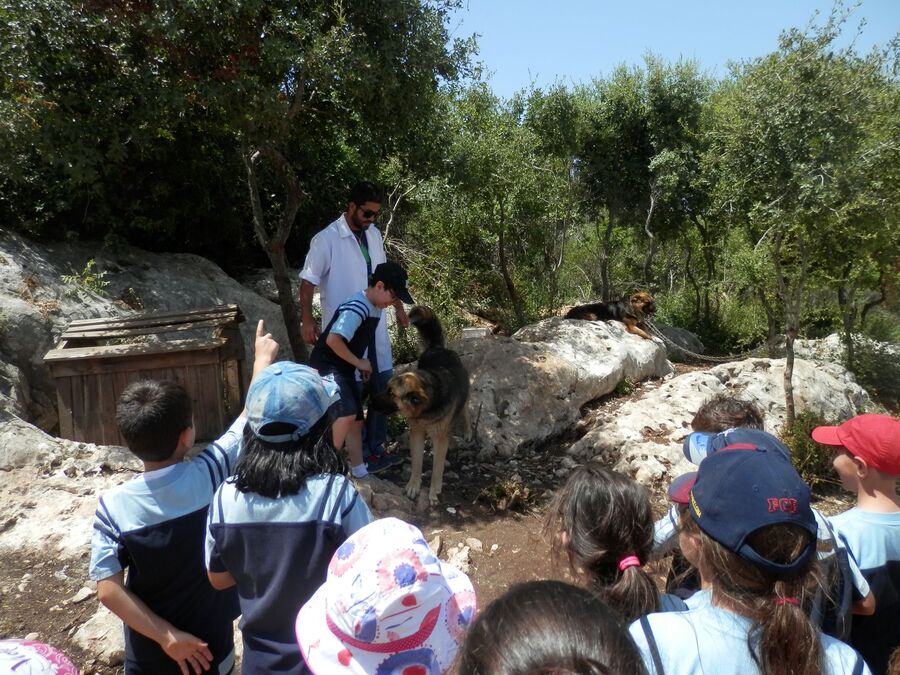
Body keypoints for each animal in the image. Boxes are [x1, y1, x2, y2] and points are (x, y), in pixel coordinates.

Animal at [370, 308, 472, 504]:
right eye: (387, 388)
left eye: (391, 393)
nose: (370, 401)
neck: (426, 408)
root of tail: (438, 348)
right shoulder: (416, 433)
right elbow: (417, 462)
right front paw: (413, 486)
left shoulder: (441, 440)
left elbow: (437, 469)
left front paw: (433, 492)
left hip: (465, 393)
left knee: (465, 409)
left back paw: (468, 430)